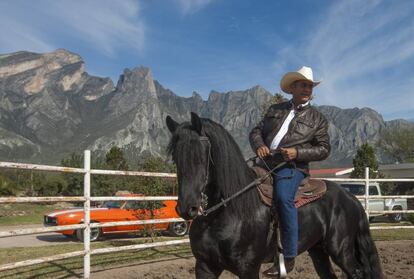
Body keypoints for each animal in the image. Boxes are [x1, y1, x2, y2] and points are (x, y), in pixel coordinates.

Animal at [166, 112, 382, 278]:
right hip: (318, 251)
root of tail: (351, 198)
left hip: (341, 250)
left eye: (200, 156)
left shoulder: (248, 269)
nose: (187, 208)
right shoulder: (205, 266)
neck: (226, 213)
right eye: (175, 157)